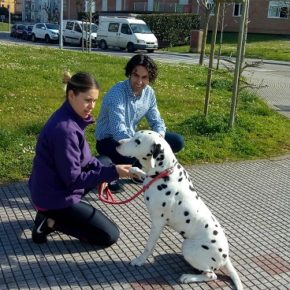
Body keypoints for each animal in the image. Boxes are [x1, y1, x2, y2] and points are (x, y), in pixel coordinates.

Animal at [116, 130, 244, 288]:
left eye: (138, 141)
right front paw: (134, 169)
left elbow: (148, 246)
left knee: (211, 275)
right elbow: (141, 173)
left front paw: (139, 260)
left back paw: (188, 277)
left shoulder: (157, 223)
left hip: (188, 247)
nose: (117, 143)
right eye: (134, 135)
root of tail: (226, 257)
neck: (164, 171)